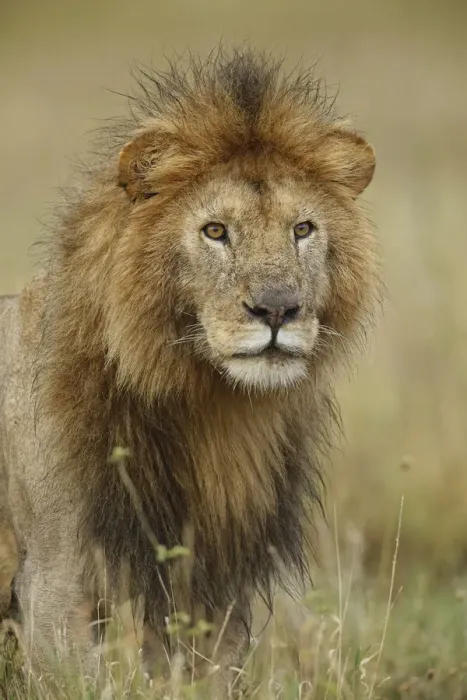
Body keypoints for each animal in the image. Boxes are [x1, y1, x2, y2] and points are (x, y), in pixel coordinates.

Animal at [0, 49, 378, 694]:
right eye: (215, 231)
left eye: (302, 229)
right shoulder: (54, 580)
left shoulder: (212, 583)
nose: (277, 309)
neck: (208, 408)